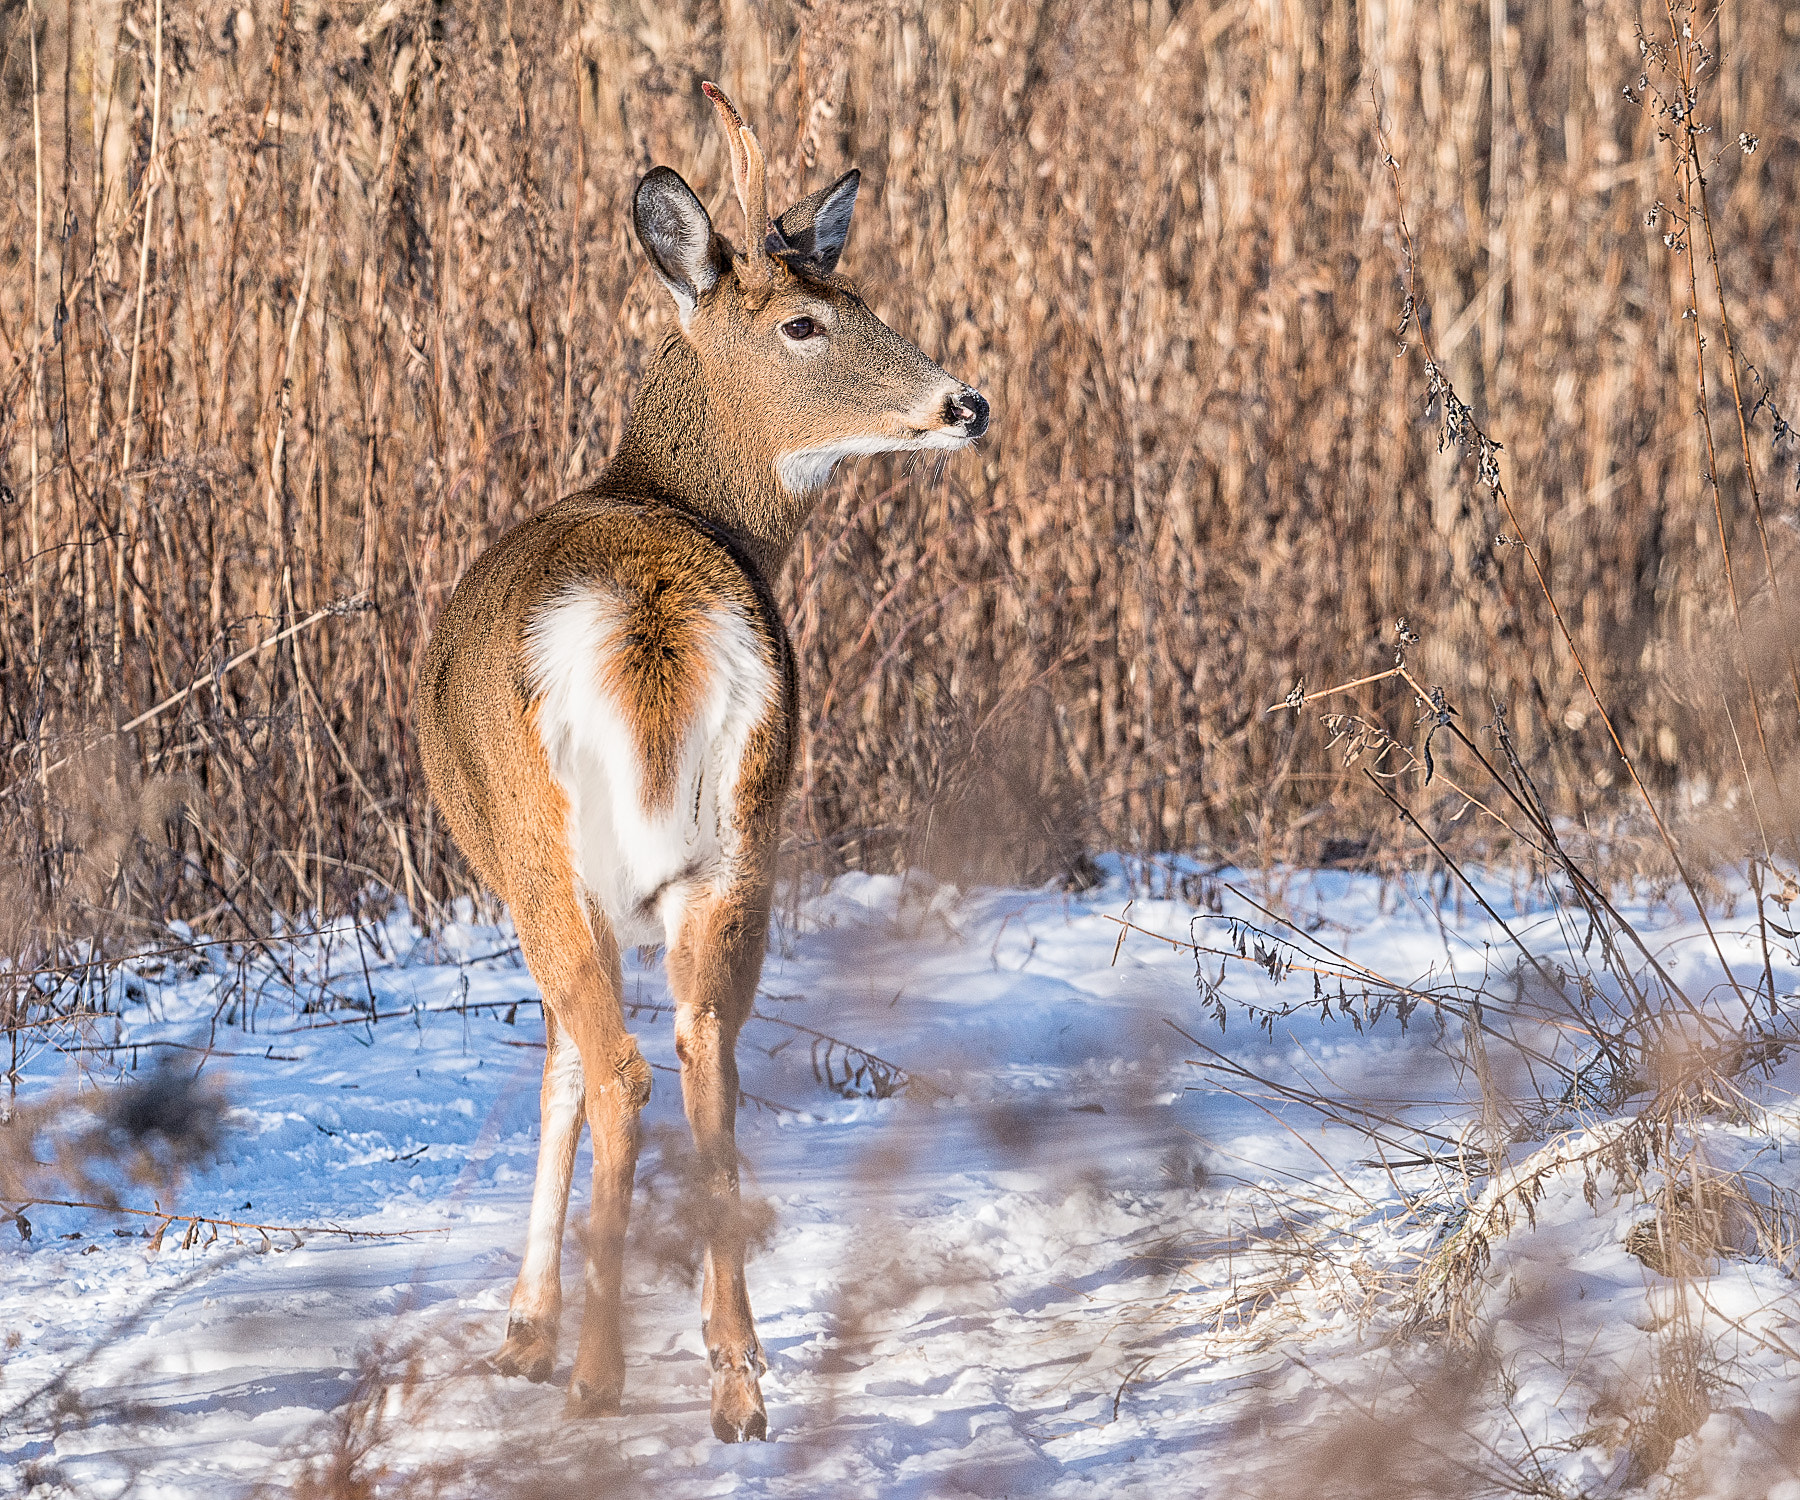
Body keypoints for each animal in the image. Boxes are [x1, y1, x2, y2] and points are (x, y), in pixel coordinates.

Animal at [414, 84, 993, 1440]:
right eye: (809, 319)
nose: (967, 404)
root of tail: (656, 616)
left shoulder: (522, 876)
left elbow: (556, 1074)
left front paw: (525, 1333)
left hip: (548, 845)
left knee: (620, 1067)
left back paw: (598, 1371)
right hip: (745, 836)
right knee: (707, 1053)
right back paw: (737, 1377)